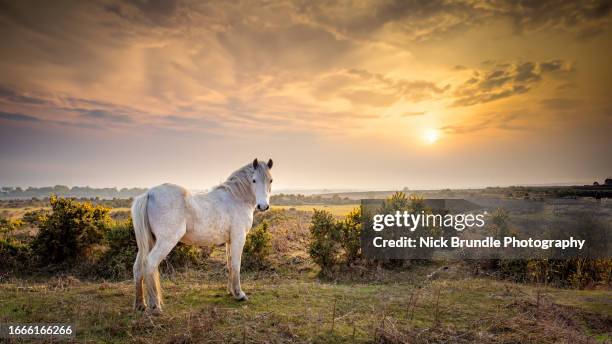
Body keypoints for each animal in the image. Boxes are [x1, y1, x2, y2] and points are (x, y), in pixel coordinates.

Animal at [133, 157, 274, 314]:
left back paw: (140, 305)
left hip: (148, 242)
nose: (263, 206)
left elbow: (230, 264)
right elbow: (236, 265)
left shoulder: (229, 241)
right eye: (254, 180)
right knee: (150, 264)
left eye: (270, 180)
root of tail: (149, 193)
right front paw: (239, 294)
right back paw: (155, 306)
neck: (236, 198)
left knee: (138, 268)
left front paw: (231, 291)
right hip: (165, 242)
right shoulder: (239, 238)